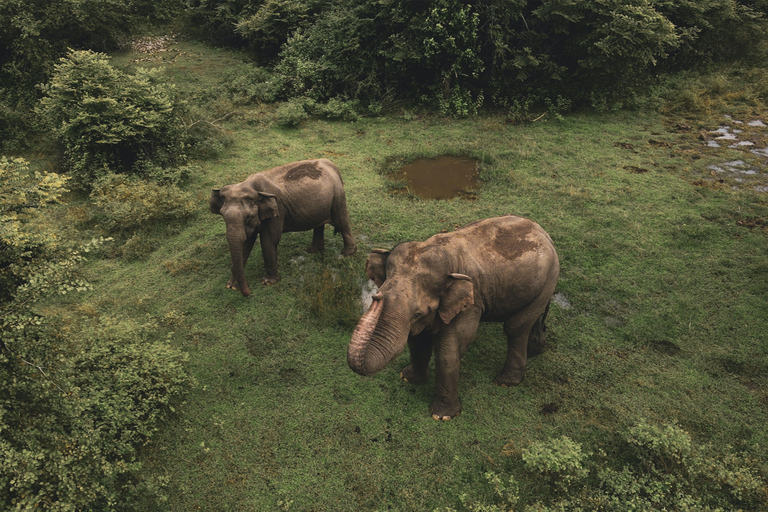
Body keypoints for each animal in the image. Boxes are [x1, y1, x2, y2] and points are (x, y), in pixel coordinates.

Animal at [208, 160, 356, 296]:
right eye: (223, 216)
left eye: (248, 217)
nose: (249, 293)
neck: (250, 185)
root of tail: (332, 165)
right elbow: (246, 243)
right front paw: (231, 285)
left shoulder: (277, 210)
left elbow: (268, 240)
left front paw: (268, 282)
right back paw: (314, 250)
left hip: (337, 198)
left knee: (342, 222)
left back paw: (347, 254)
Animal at [348, 215, 560, 420]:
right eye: (378, 293)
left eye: (418, 313)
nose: (376, 298)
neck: (444, 252)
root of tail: (545, 233)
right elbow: (418, 340)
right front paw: (408, 378)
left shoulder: (471, 303)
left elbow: (449, 350)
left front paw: (442, 416)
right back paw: (535, 350)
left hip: (548, 279)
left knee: (515, 327)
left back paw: (505, 382)